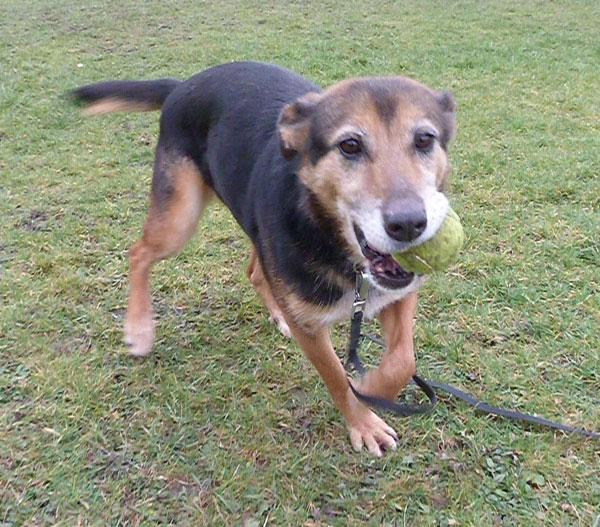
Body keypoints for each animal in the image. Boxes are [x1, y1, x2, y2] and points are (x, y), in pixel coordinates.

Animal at [75, 63, 458, 458]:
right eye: (350, 145)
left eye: (425, 140)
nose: (409, 224)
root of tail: (183, 86)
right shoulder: (311, 330)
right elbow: (337, 377)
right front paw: (363, 419)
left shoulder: (398, 293)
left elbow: (403, 360)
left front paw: (374, 388)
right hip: (179, 218)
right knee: (139, 253)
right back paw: (138, 329)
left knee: (254, 270)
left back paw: (276, 314)